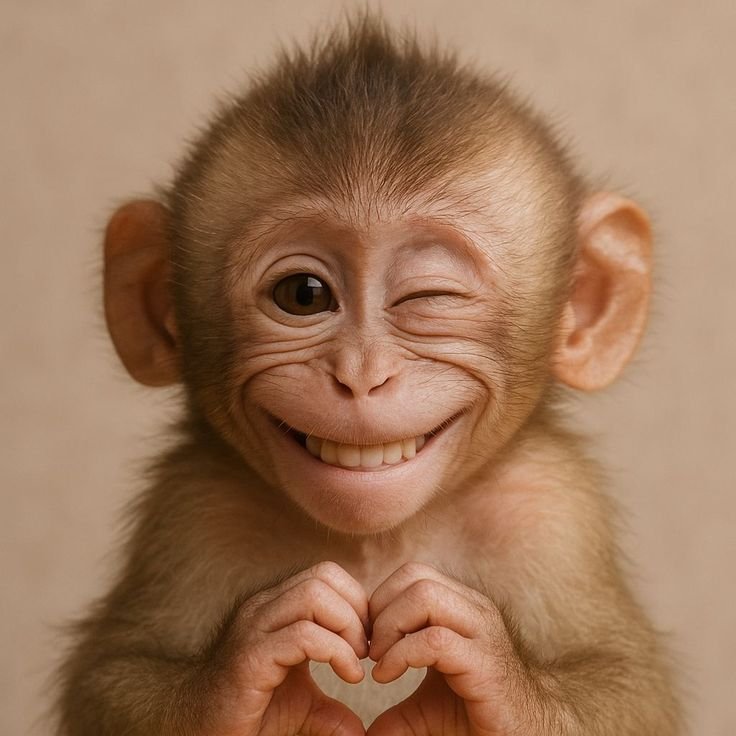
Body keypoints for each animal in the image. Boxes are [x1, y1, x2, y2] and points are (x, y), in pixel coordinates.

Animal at [55, 15, 682, 736]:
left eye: (430, 297)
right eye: (303, 294)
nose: (361, 376)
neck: (378, 543)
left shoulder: (552, 505)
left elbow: (627, 682)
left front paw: (487, 669)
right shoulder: (192, 506)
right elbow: (113, 674)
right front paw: (248, 666)